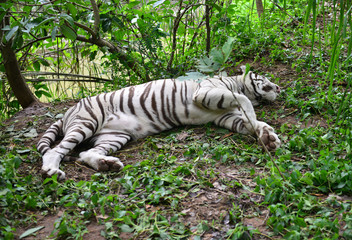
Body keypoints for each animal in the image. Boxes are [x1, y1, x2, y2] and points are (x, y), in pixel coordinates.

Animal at [37, 66, 280, 179]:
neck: (237, 82)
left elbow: (248, 122)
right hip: (86, 123)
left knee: (86, 153)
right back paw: (52, 171)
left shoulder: (224, 115)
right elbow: (245, 101)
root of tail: (68, 111)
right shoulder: (205, 93)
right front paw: (257, 121)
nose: (278, 87)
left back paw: (108, 164)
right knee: (56, 151)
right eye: (265, 78)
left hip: (114, 136)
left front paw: (268, 136)